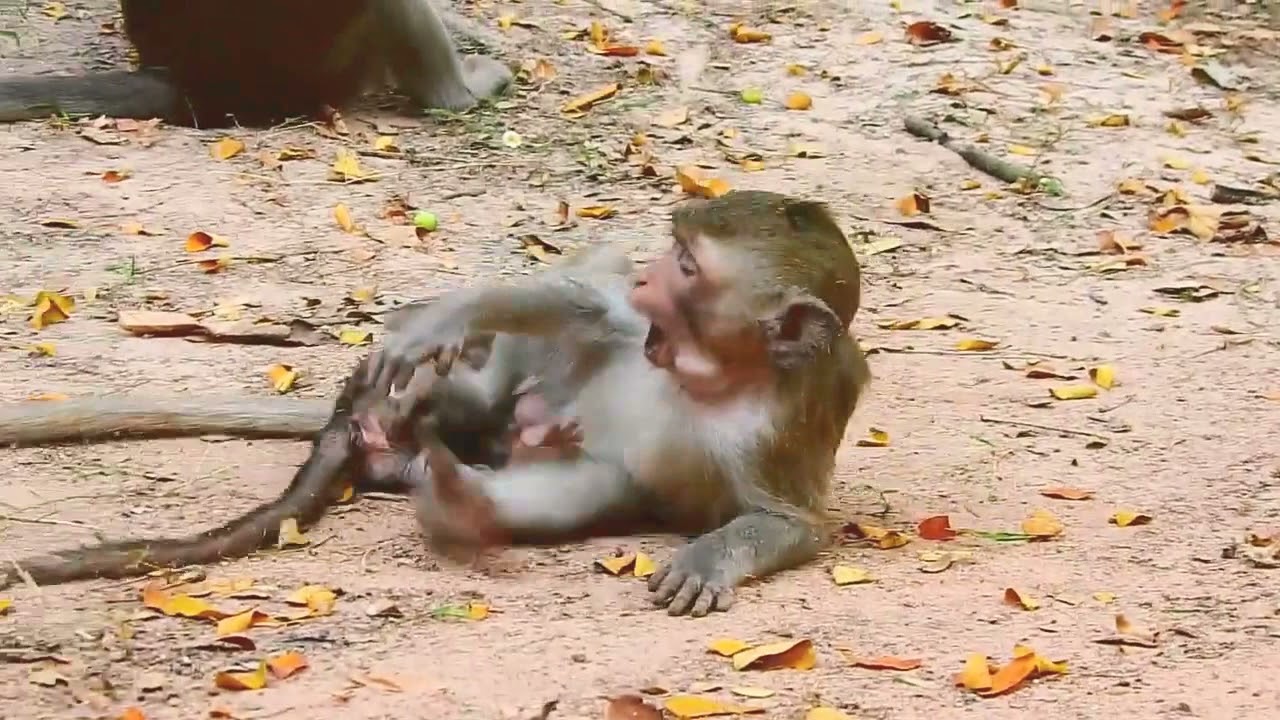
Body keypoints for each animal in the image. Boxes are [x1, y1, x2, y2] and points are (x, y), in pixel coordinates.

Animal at [364, 189, 870, 617]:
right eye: (676, 249)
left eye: (686, 265)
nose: (645, 278)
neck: (711, 376)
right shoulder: (633, 325)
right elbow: (584, 306)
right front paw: (447, 318)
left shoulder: (776, 431)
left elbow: (792, 520)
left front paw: (706, 560)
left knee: (599, 482)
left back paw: (462, 494)